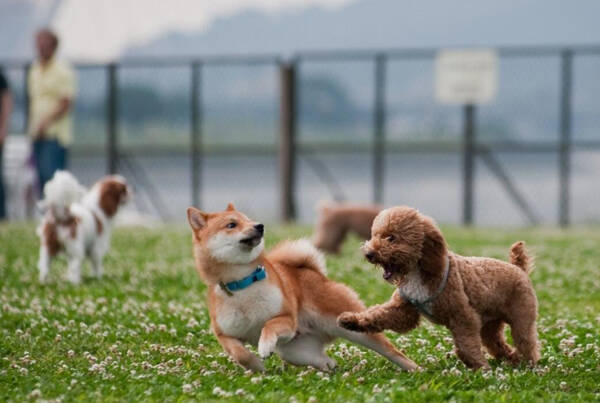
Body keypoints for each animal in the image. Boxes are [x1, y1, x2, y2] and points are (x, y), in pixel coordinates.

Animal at [184, 204, 418, 374]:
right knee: (324, 360)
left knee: (392, 351)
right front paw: (256, 365)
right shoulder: (225, 334)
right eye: (231, 224)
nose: (259, 225)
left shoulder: (287, 320)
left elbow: (268, 325)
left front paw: (265, 346)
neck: (243, 283)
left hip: (348, 326)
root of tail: (314, 273)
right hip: (295, 352)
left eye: (248, 219)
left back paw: (416, 369)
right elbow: (238, 353)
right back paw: (330, 368)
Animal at [340, 207, 540, 370]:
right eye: (374, 235)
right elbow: (377, 315)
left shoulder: (463, 316)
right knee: (497, 344)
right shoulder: (402, 310)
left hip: (521, 317)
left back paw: (527, 363)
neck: (418, 270)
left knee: (526, 342)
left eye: (391, 238)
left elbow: (466, 345)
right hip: (490, 324)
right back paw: (512, 359)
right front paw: (351, 320)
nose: (369, 254)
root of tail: (518, 268)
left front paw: (480, 366)